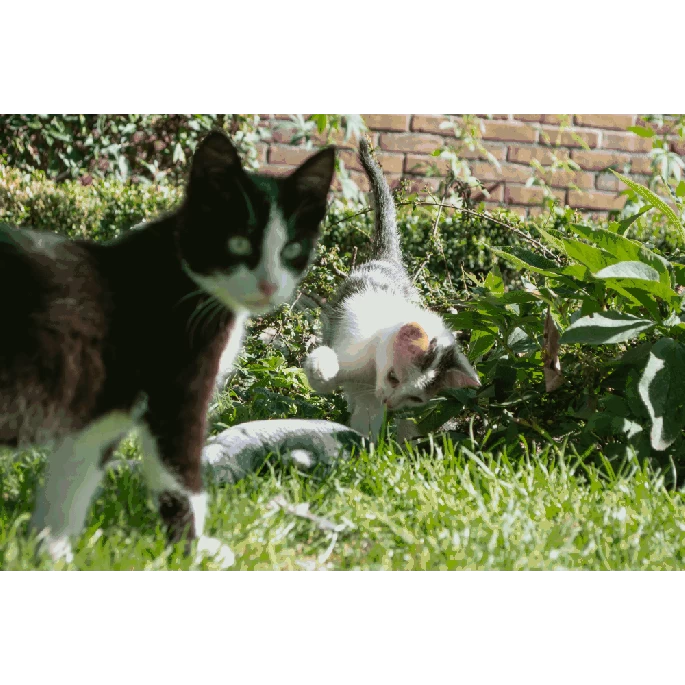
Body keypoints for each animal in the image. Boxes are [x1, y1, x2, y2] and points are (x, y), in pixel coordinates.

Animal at [0, 130, 336, 566]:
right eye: (238, 242)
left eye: (292, 249)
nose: (268, 286)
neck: (185, 276)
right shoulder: (176, 389)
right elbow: (180, 478)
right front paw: (193, 552)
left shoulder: (102, 413)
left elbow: (72, 481)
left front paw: (50, 554)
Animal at [303, 137, 479, 440]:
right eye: (394, 377)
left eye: (416, 399)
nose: (391, 402)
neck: (373, 363)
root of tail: (387, 260)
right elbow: (324, 378)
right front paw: (323, 368)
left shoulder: (370, 397)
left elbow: (367, 421)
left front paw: (366, 446)